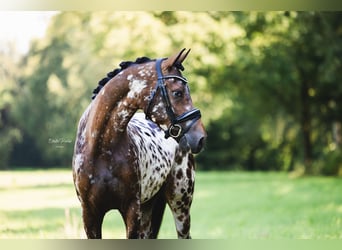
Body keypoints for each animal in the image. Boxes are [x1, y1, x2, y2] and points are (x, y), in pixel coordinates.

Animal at [72, 48, 206, 238]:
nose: (200, 138)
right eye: (177, 92)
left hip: (180, 206)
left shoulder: (131, 211)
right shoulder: (90, 215)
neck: (101, 149)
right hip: (149, 207)